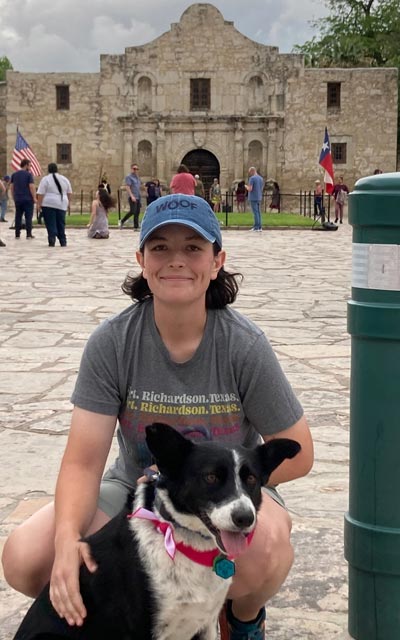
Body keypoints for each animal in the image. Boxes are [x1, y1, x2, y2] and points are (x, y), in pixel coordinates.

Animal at [13, 424, 300, 640]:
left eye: (251, 479)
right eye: (210, 477)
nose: (245, 518)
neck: (181, 541)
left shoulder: (205, 623)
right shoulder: (141, 630)